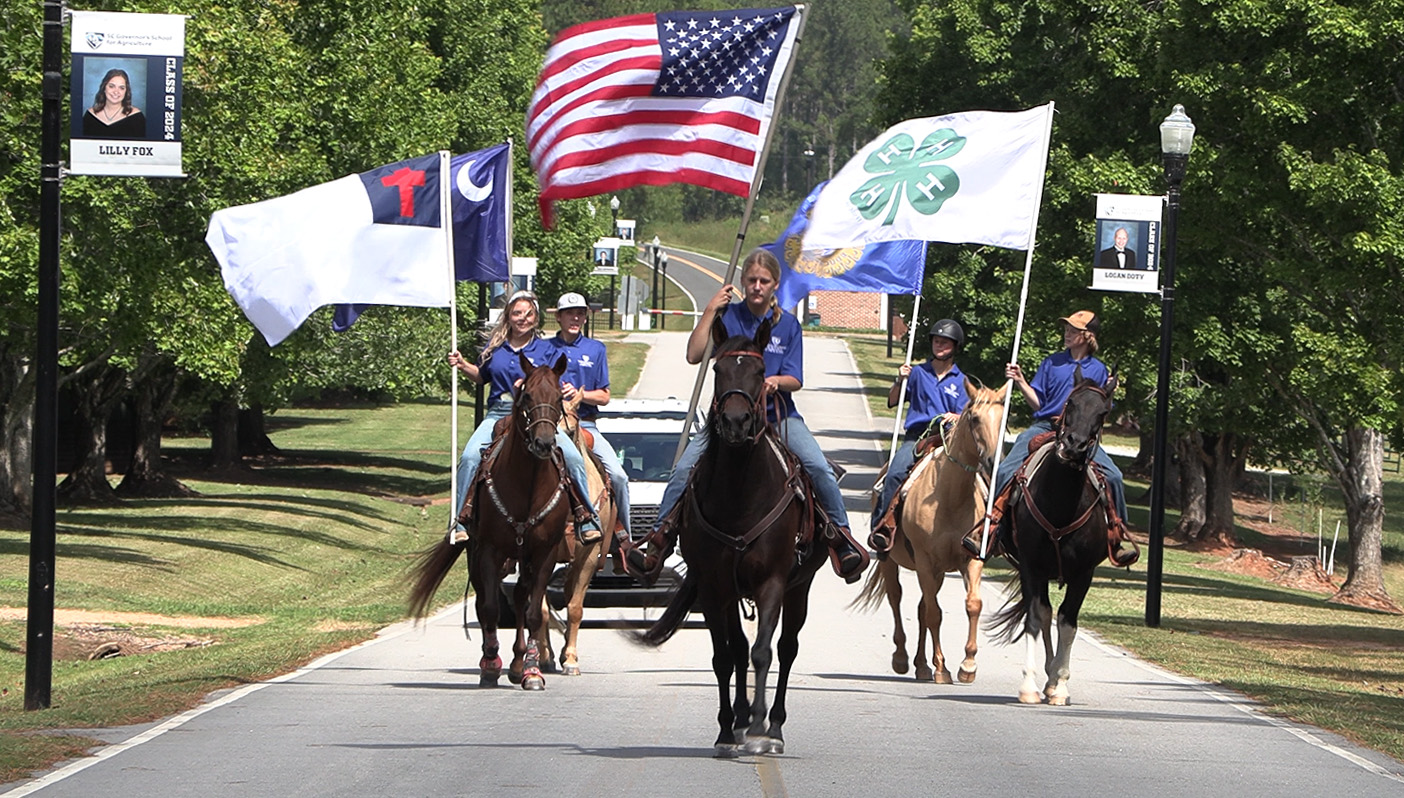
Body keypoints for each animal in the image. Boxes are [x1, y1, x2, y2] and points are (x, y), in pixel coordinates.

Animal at [409, 352, 572, 688]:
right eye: (527, 395)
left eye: (559, 396)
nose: (543, 443)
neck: (527, 486)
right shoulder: (487, 550)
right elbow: (490, 608)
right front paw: (490, 665)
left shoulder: (545, 553)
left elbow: (534, 612)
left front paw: (532, 671)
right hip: (481, 554)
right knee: (486, 602)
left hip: (522, 557)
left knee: (521, 598)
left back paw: (520, 663)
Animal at [634, 314, 825, 758]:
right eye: (718, 370)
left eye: (759, 371)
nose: (736, 423)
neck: (741, 491)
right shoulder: (713, 584)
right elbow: (725, 656)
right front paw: (727, 730)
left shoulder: (773, 582)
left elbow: (763, 652)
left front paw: (758, 728)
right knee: (737, 649)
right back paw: (738, 723)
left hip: (800, 586)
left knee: (786, 649)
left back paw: (773, 727)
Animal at [848, 376, 1005, 682]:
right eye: (975, 418)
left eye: (1001, 419)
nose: (993, 463)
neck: (951, 497)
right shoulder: (924, 560)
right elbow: (935, 614)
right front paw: (942, 668)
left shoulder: (970, 559)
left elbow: (972, 605)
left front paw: (967, 665)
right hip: (890, 560)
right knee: (897, 598)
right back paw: (902, 658)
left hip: (937, 571)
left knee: (922, 607)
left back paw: (922, 664)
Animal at [988, 368, 1117, 705]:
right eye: (1070, 403)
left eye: (1103, 412)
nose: (1074, 445)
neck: (1061, 505)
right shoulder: (1031, 566)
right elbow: (1035, 619)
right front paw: (1029, 686)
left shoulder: (1085, 572)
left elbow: (1068, 622)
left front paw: (1059, 685)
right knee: (1043, 613)